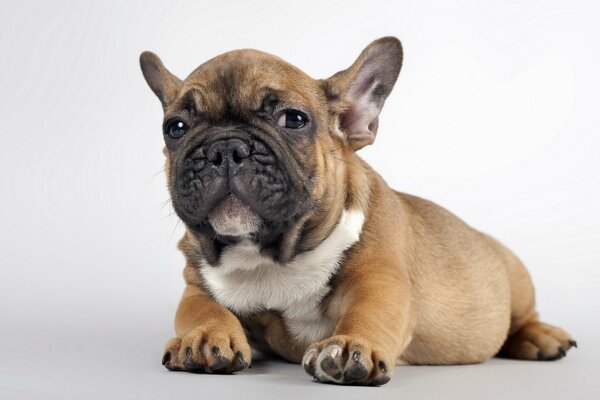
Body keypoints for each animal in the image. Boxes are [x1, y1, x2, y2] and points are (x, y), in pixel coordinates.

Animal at [141, 36, 576, 384]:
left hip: (514, 275)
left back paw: (540, 336)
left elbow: (370, 311)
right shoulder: (195, 283)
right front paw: (203, 337)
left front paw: (352, 345)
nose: (225, 148)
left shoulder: (380, 278)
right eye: (175, 128)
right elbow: (200, 309)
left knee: (523, 317)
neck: (272, 256)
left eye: (294, 119)